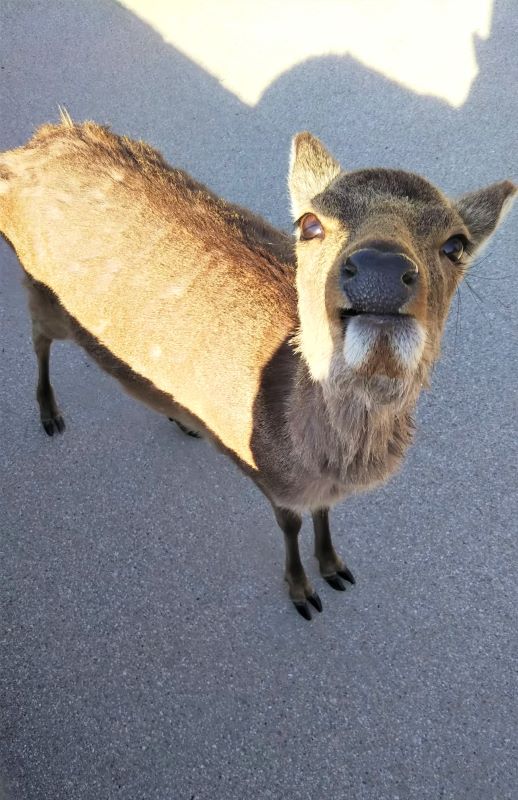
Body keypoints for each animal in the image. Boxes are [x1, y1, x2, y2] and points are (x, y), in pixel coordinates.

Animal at [0, 116, 515, 619]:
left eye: (456, 245)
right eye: (310, 223)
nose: (381, 268)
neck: (316, 460)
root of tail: (25, 151)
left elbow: (323, 513)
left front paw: (335, 566)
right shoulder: (267, 475)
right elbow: (289, 525)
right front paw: (302, 591)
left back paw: (179, 419)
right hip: (42, 291)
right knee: (38, 338)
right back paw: (49, 413)